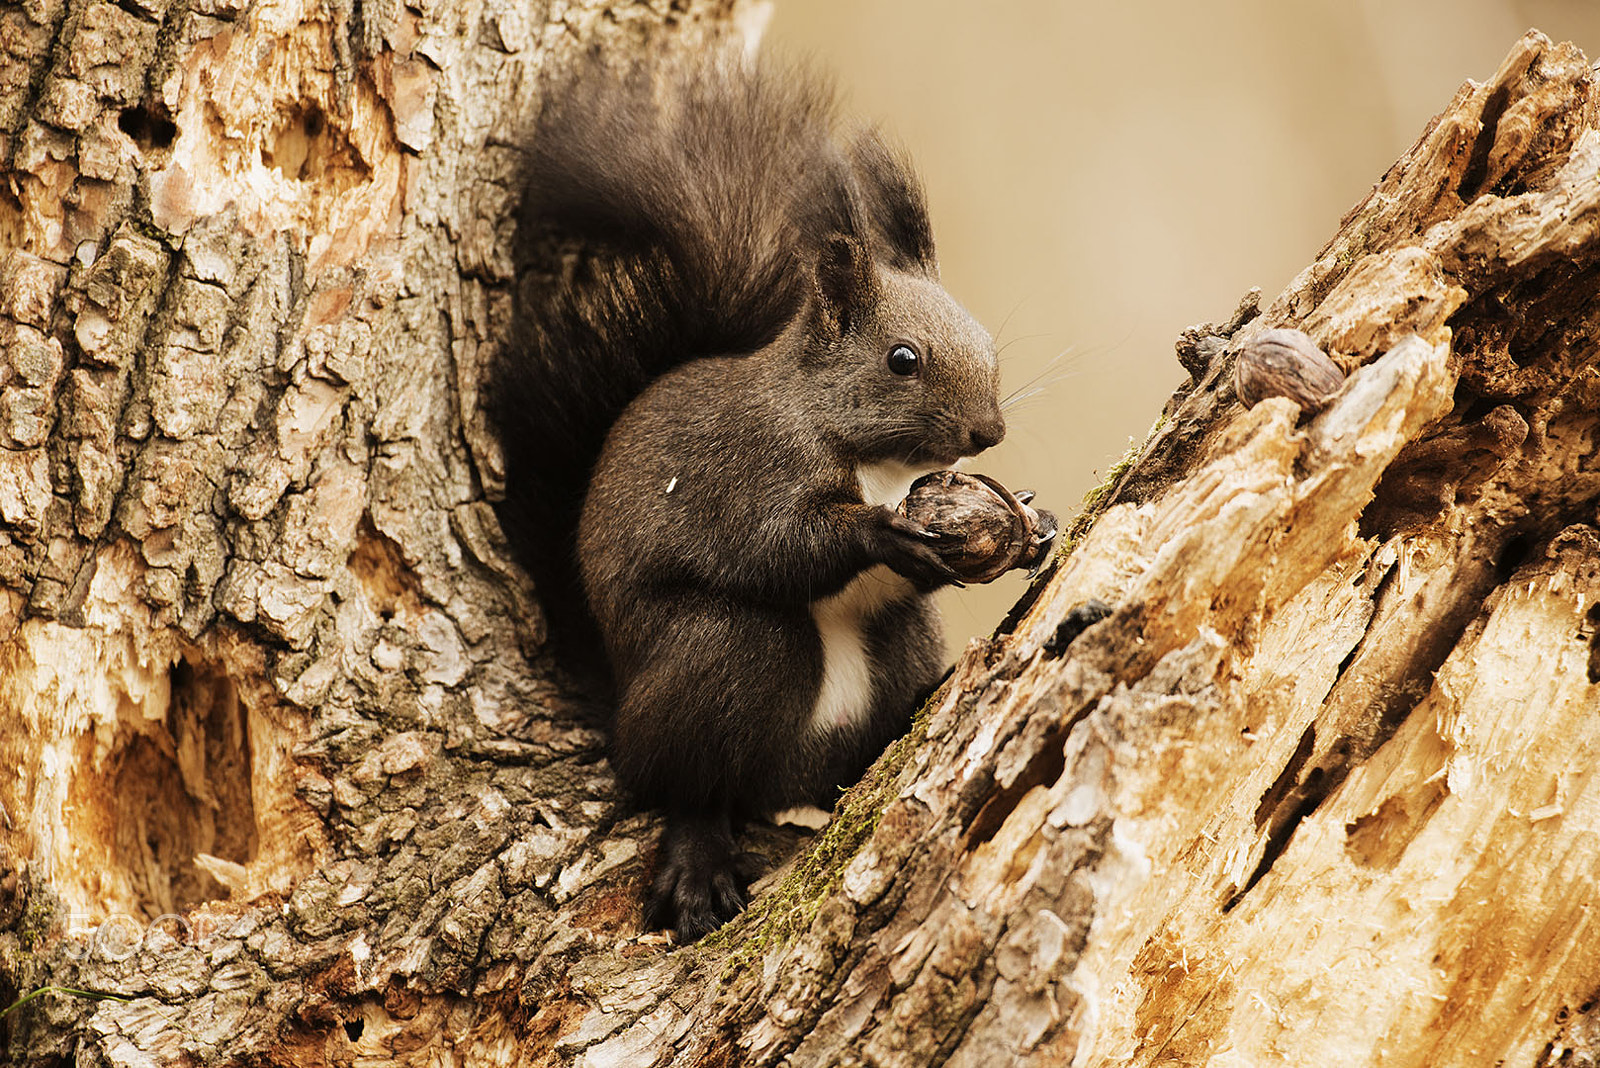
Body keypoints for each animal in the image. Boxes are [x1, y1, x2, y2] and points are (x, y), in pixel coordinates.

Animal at [492, 54, 1004, 940]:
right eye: (902, 359)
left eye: (990, 342)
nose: (992, 431)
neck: (878, 460)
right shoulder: (745, 470)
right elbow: (775, 548)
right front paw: (880, 534)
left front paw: (1033, 522)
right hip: (723, 657)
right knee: (689, 783)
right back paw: (698, 855)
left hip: (898, 641)